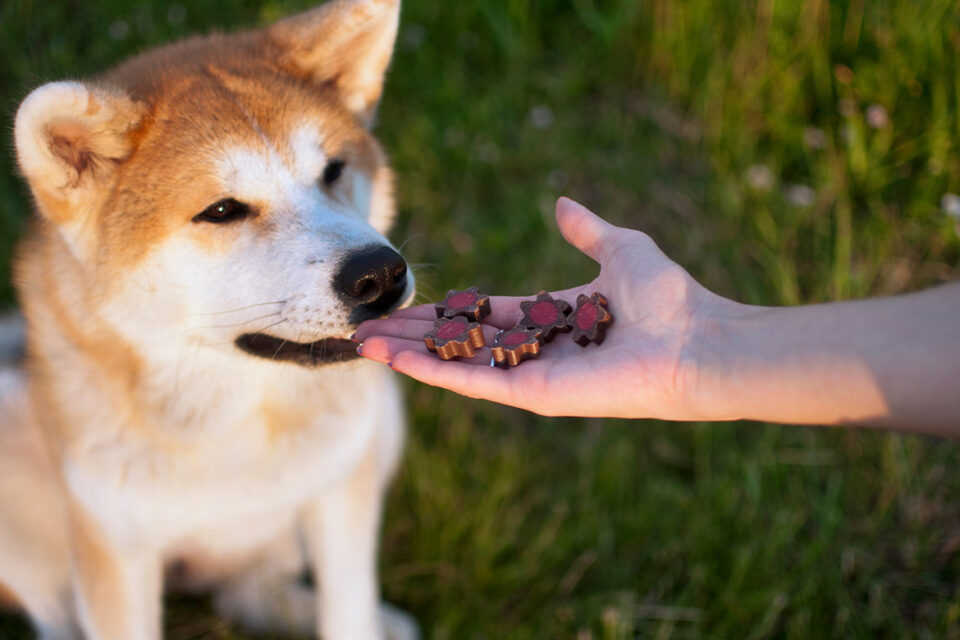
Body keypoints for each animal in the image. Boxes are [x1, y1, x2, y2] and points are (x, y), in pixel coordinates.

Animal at [0, 1, 420, 640]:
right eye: (222, 210)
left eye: (333, 170)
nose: (380, 274)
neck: (234, 417)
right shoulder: (114, 550)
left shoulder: (340, 493)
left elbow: (347, 609)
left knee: (250, 591)